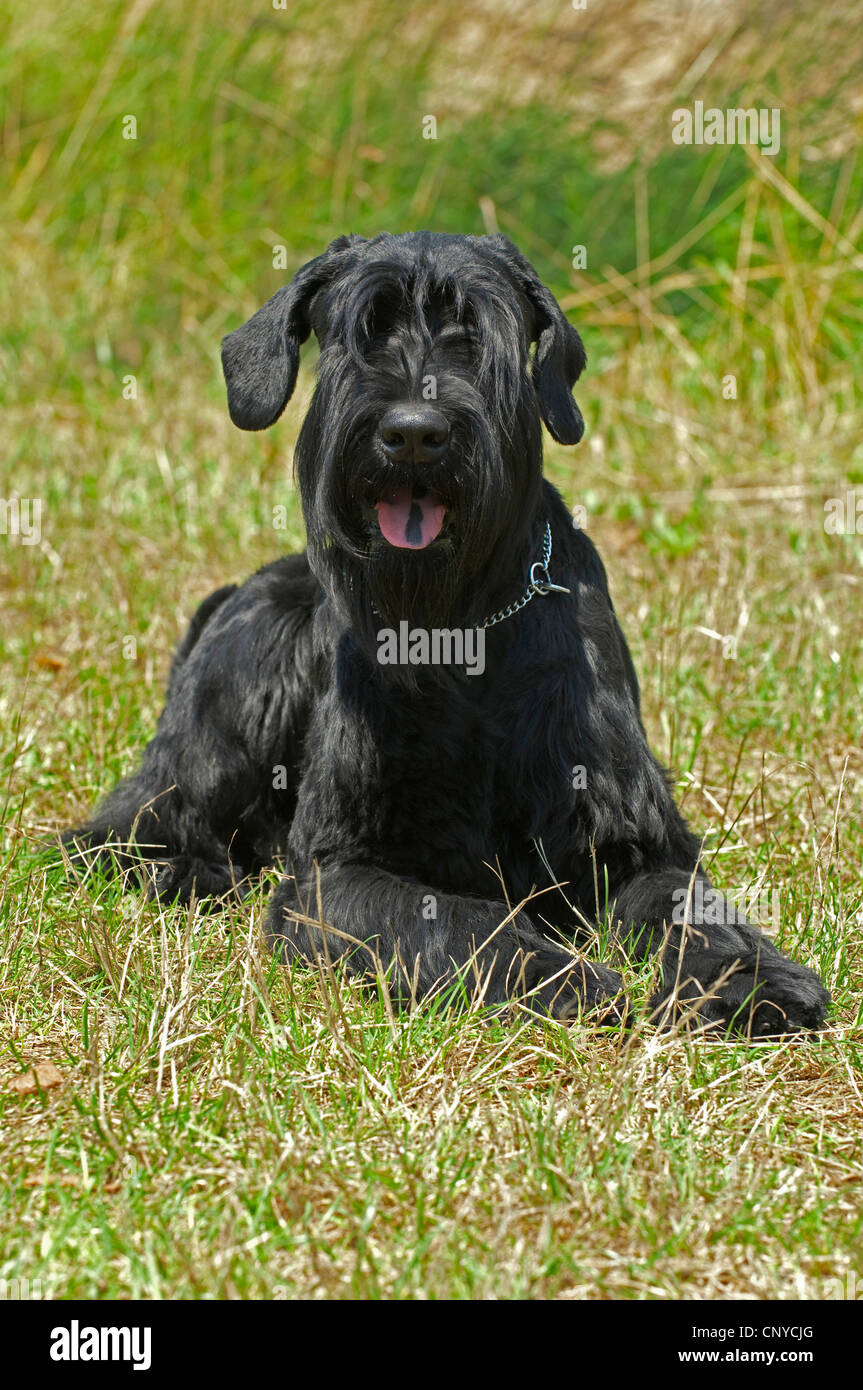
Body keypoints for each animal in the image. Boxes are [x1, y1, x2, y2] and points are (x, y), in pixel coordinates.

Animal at [65, 230, 828, 1034]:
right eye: (362, 330)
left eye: (474, 335)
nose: (412, 433)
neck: (459, 626)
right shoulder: (339, 870)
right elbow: (457, 917)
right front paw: (557, 975)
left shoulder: (636, 839)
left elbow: (695, 908)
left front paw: (753, 982)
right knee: (121, 826)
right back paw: (179, 868)